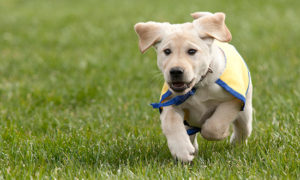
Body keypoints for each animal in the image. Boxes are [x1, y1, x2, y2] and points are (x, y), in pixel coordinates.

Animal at [135, 11, 252, 162]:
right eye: (167, 51)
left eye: (191, 51)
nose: (176, 71)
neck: (199, 85)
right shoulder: (169, 102)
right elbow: (171, 122)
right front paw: (182, 151)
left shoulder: (233, 100)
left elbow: (214, 125)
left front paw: (220, 134)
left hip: (245, 110)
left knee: (243, 128)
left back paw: (237, 144)